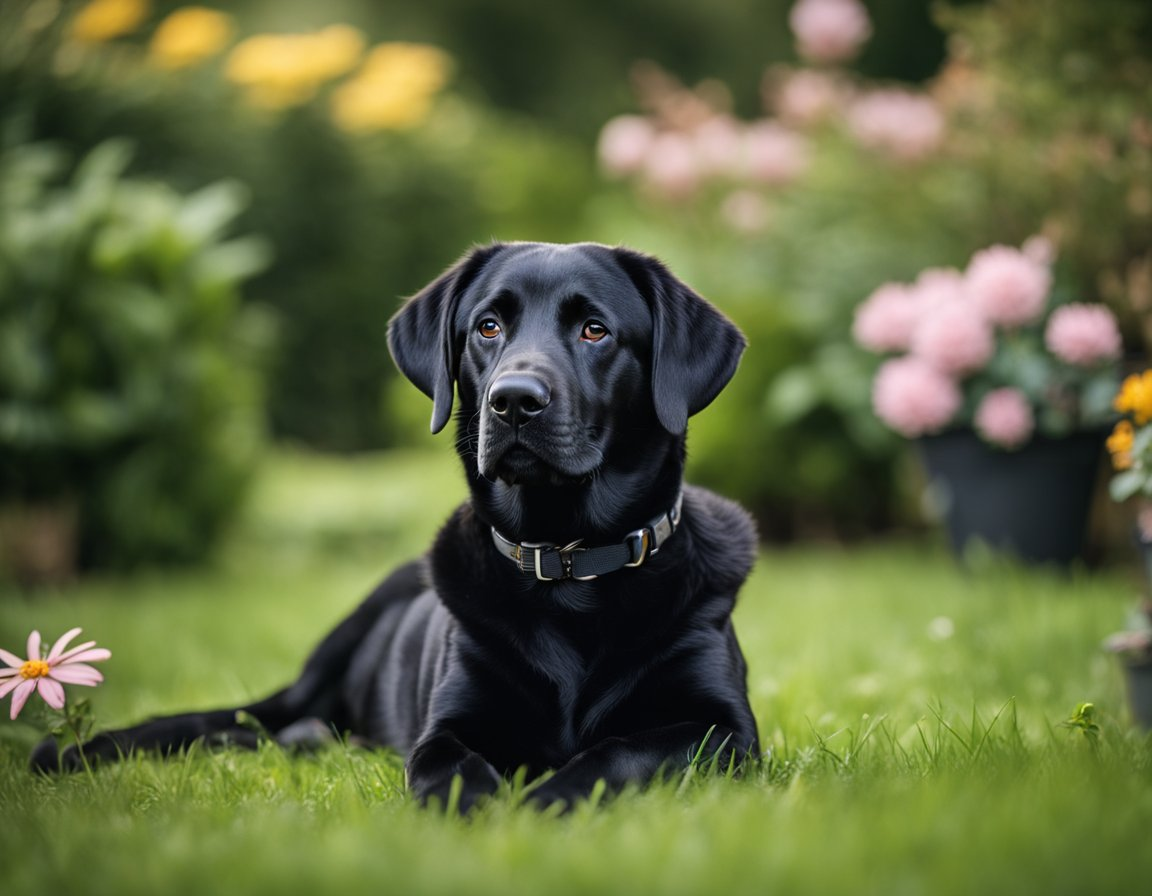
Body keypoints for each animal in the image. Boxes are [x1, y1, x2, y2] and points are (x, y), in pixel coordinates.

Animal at [31, 239, 760, 810]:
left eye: (595, 331)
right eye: (487, 327)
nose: (513, 401)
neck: (566, 561)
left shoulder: (723, 731)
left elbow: (618, 752)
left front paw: (546, 799)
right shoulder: (448, 723)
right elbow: (447, 766)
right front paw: (481, 807)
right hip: (333, 652)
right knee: (238, 721)